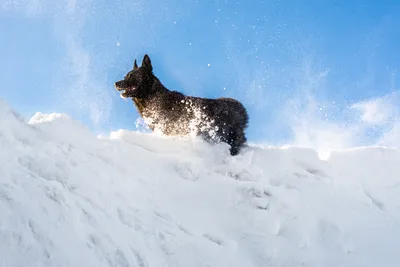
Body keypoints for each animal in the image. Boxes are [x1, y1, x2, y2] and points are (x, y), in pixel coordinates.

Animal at [114, 55, 248, 156]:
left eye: (131, 76)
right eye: (125, 76)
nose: (116, 83)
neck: (152, 96)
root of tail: (242, 108)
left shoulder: (167, 127)